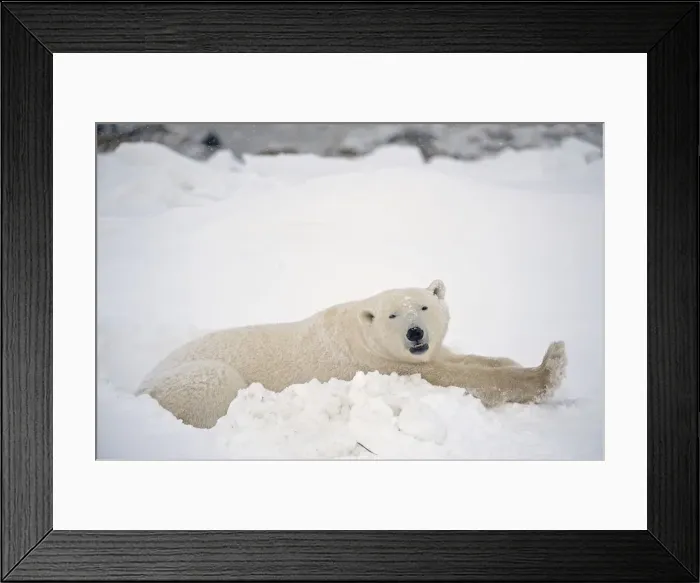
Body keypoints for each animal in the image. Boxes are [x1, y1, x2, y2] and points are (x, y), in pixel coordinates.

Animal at [136, 279, 567, 429]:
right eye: (394, 314)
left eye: (424, 306)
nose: (415, 333)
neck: (360, 331)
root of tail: (140, 386)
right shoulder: (382, 365)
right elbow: (464, 379)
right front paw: (551, 367)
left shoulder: (422, 355)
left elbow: (461, 360)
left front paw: (512, 360)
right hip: (195, 379)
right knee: (215, 386)